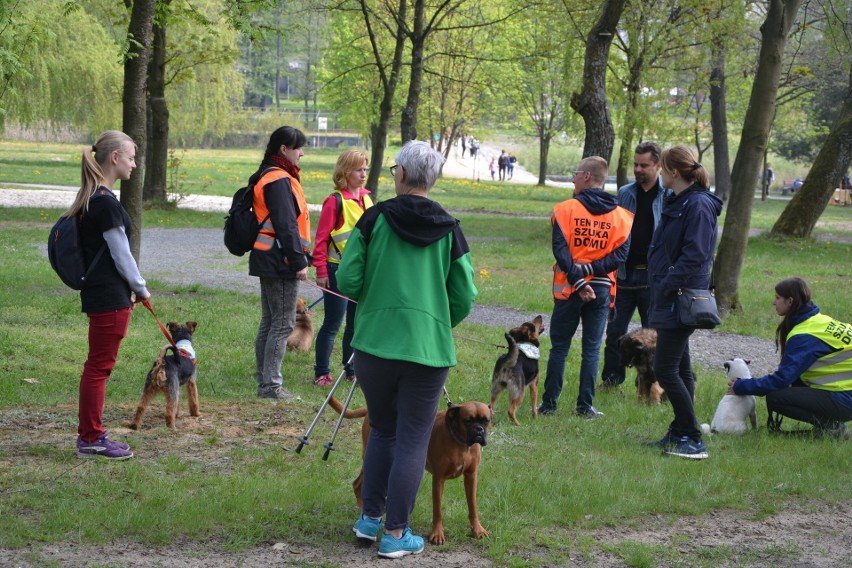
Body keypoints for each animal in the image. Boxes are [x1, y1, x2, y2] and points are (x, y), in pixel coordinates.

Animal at [328, 394, 492, 544]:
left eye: (486, 420)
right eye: (468, 420)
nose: (479, 429)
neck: (461, 444)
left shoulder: (471, 477)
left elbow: (473, 507)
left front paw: (477, 530)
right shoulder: (438, 480)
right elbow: (437, 510)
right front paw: (437, 533)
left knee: (359, 483)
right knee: (359, 484)